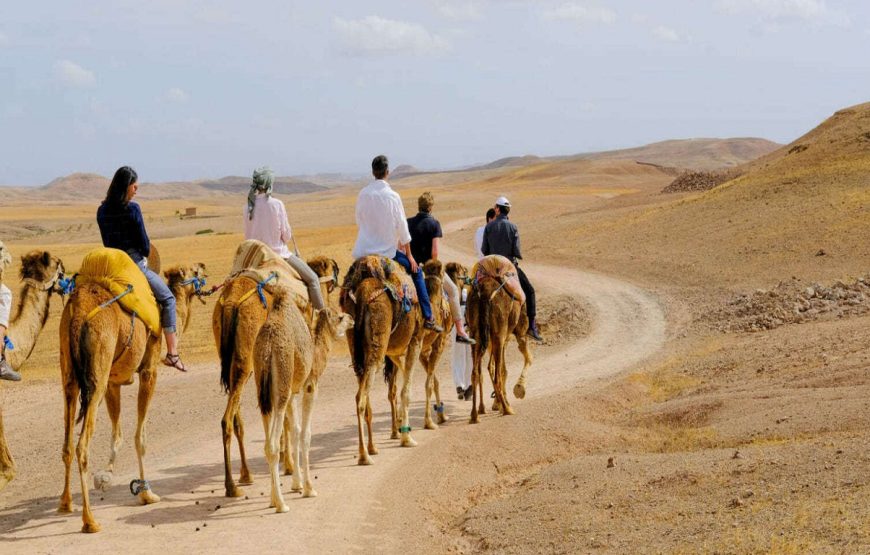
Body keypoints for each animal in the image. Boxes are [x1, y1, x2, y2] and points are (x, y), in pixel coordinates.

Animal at [57, 258, 205, 533]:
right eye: (194, 271)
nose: (204, 266)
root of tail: (79, 312)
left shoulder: (113, 382)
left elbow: (118, 433)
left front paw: (105, 477)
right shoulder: (149, 370)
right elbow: (140, 436)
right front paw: (146, 493)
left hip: (69, 375)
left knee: (68, 443)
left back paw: (65, 503)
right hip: (97, 372)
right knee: (82, 445)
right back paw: (89, 520)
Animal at [213, 250, 339, 497]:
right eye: (331, 268)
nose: (337, 280)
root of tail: (231, 302)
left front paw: (284, 461)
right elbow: (288, 420)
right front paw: (289, 466)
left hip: (233, 361)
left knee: (235, 416)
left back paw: (245, 475)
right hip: (247, 362)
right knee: (227, 419)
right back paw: (231, 486)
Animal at [253, 289, 352, 512]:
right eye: (339, 317)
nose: (351, 318)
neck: (316, 351)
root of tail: (268, 348)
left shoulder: (292, 392)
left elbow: (296, 431)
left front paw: (296, 484)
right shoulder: (310, 385)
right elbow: (306, 434)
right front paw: (309, 488)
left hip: (264, 390)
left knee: (267, 440)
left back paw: (274, 499)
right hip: (281, 383)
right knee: (272, 445)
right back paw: (281, 505)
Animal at [340, 255, 423, 465]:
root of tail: (362, 292)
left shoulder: (393, 351)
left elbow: (396, 387)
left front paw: (399, 427)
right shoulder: (415, 341)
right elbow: (405, 391)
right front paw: (406, 438)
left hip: (355, 345)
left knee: (365, 394)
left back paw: (372, 447)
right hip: (378, 342)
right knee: (360, 398)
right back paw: (364, 455)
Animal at [465, 255, 533, 424]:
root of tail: (485, 292)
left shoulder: (502, 339)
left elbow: (501, 369)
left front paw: (498, 403)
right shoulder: (519, 333)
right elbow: (527, 358)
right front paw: (519, 389)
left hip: (477, 335)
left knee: (476, 373)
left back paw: (475, 414)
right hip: (499, 333)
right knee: (495, 374)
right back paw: (507, 409)